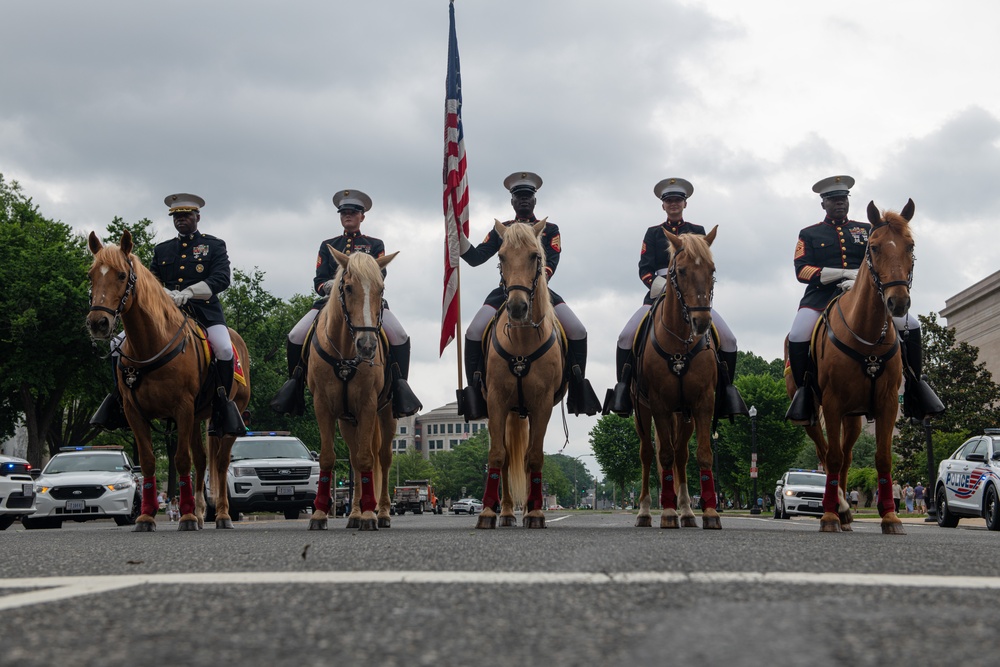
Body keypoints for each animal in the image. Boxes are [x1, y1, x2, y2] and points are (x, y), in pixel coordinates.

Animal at [85, 230, 250, 532]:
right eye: (91, 275)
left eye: (122, 275)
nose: (98, 323)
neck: (151, 344)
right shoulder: (135, 412)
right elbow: (149, 462)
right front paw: (147, 516)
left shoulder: (182, 408)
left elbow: (181, 460)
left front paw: (185, 517)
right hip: (197, 417)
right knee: (202, 460)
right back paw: (200, 512)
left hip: (230, 414)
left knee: (220, 463)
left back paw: (221, 514)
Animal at [304, 245, 398, 532]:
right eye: (347, 287)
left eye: (381, 288)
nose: (367, 345)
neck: (345, 353)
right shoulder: (323, 407)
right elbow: (328, 457)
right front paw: (319, 514)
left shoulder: (367, 405)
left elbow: (368, 458)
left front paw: (370, 515)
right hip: (347, 420)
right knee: (355, 459)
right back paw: (354, 513)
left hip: (387, 414)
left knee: (383, 457)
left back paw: (382, 512)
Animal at [474, 222, 568, 528]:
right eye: (501, 256)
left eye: (534, 256)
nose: (517, 307)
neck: (522, 338)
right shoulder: (496, 402)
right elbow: (497, 455)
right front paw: (487, 511)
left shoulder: (542, 404)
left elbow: (534, 457)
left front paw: (536, 512)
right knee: (506, 457)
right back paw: (505, 512)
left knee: (526, 457)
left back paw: (527, 508)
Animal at [632, 227, 720, 528]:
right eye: (680, 271)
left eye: (712, 269)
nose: (701, 322)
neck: (679, 341)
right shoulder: (658, 404)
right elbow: (664, 454)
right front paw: (668, 512)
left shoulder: (703, 402)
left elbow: (702, 455)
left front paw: (710, 512)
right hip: (642, 410)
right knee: (648, 454)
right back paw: (646, 510)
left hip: (683, 414)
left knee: (681, 455)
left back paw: (687, 510)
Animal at [784, 201, 916, 536]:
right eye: (874, 246)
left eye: (910, 246)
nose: (898, 303)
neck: (867, 335)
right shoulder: (831, 403)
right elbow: (831, 456)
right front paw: (829, 515)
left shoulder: (886, 403)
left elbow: (882, 458)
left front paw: (890, 516)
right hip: (812, 409)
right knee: (825, 451)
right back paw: (839, 507)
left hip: (853, 416)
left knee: (847, 455)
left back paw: (845, 512)